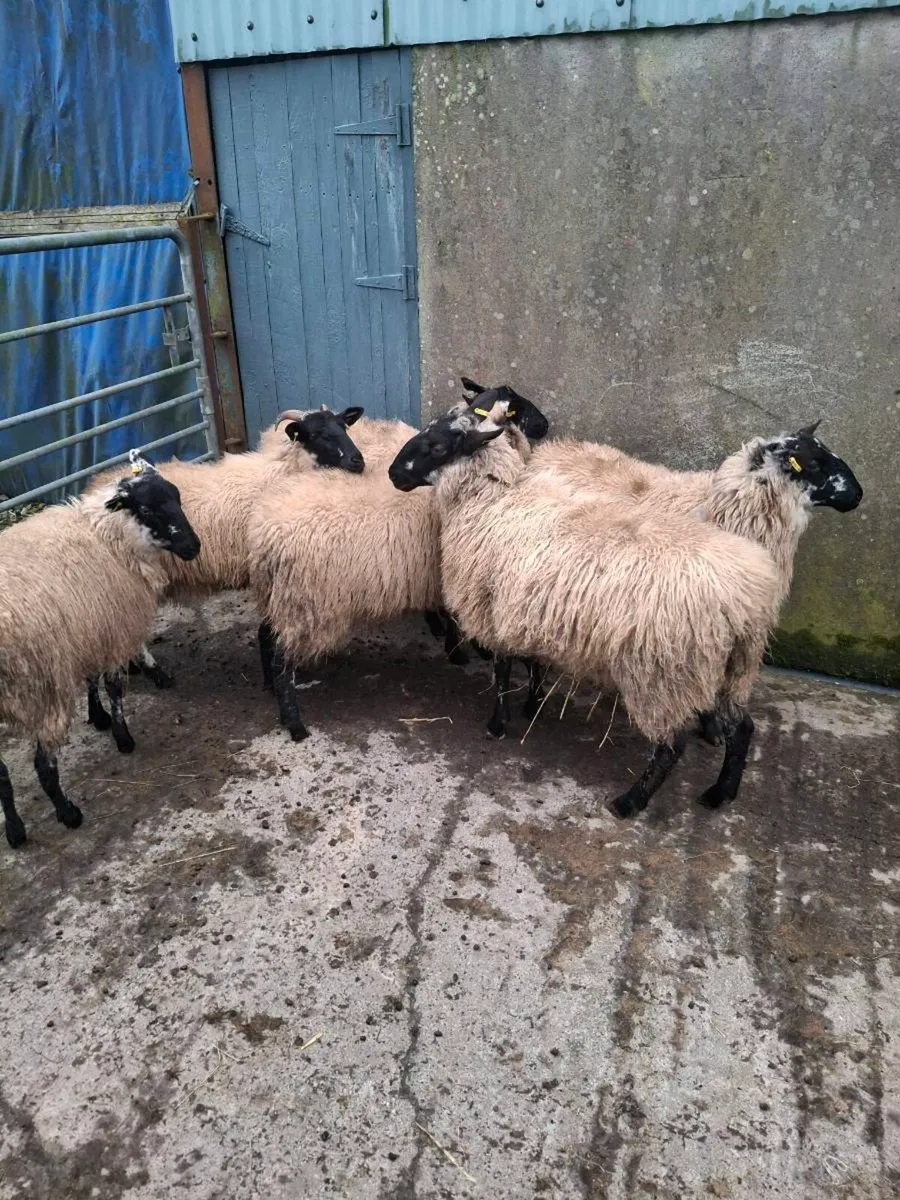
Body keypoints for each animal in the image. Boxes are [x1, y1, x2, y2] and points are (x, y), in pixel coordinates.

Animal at [0, 457, 201, 848]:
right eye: (146, 508)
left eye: (177, 497)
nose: (193, 546)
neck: (107, 535)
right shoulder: (111, 624)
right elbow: (114, 688)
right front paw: (122, 736)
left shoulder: (91, 628)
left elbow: (93, 678)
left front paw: (98, 716)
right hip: (38, 689)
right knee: (43, 765)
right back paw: (67, 813)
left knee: (0, 774)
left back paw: (15, 830)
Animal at [82, 406, 366, 731]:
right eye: (316, 434)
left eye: (344, 426)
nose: (358, 461)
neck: (284, 471)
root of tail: (94, 487)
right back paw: (150, 679)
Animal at [247, 382, 551, 741]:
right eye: (517, 406)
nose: (545, 424)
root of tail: (263, 532)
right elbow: (455, 616)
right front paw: (461, 650)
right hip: (302, 599)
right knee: (282, 658)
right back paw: (294, 722)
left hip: (278, 596)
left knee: (265, 635)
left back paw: (269, 687)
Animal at [387, 400, 862, 818]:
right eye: (814, 462)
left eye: (437, 447)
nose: (857, 495)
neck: (492, 500)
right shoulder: (516, 603)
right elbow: (521, 662)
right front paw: (530, 704)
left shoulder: (494, 604)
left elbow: (503, 670)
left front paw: (499, 723)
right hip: (733, 665)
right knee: (743, 728)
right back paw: (719, 793)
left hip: (666, 672)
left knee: (672, 745)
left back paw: (631, 801)